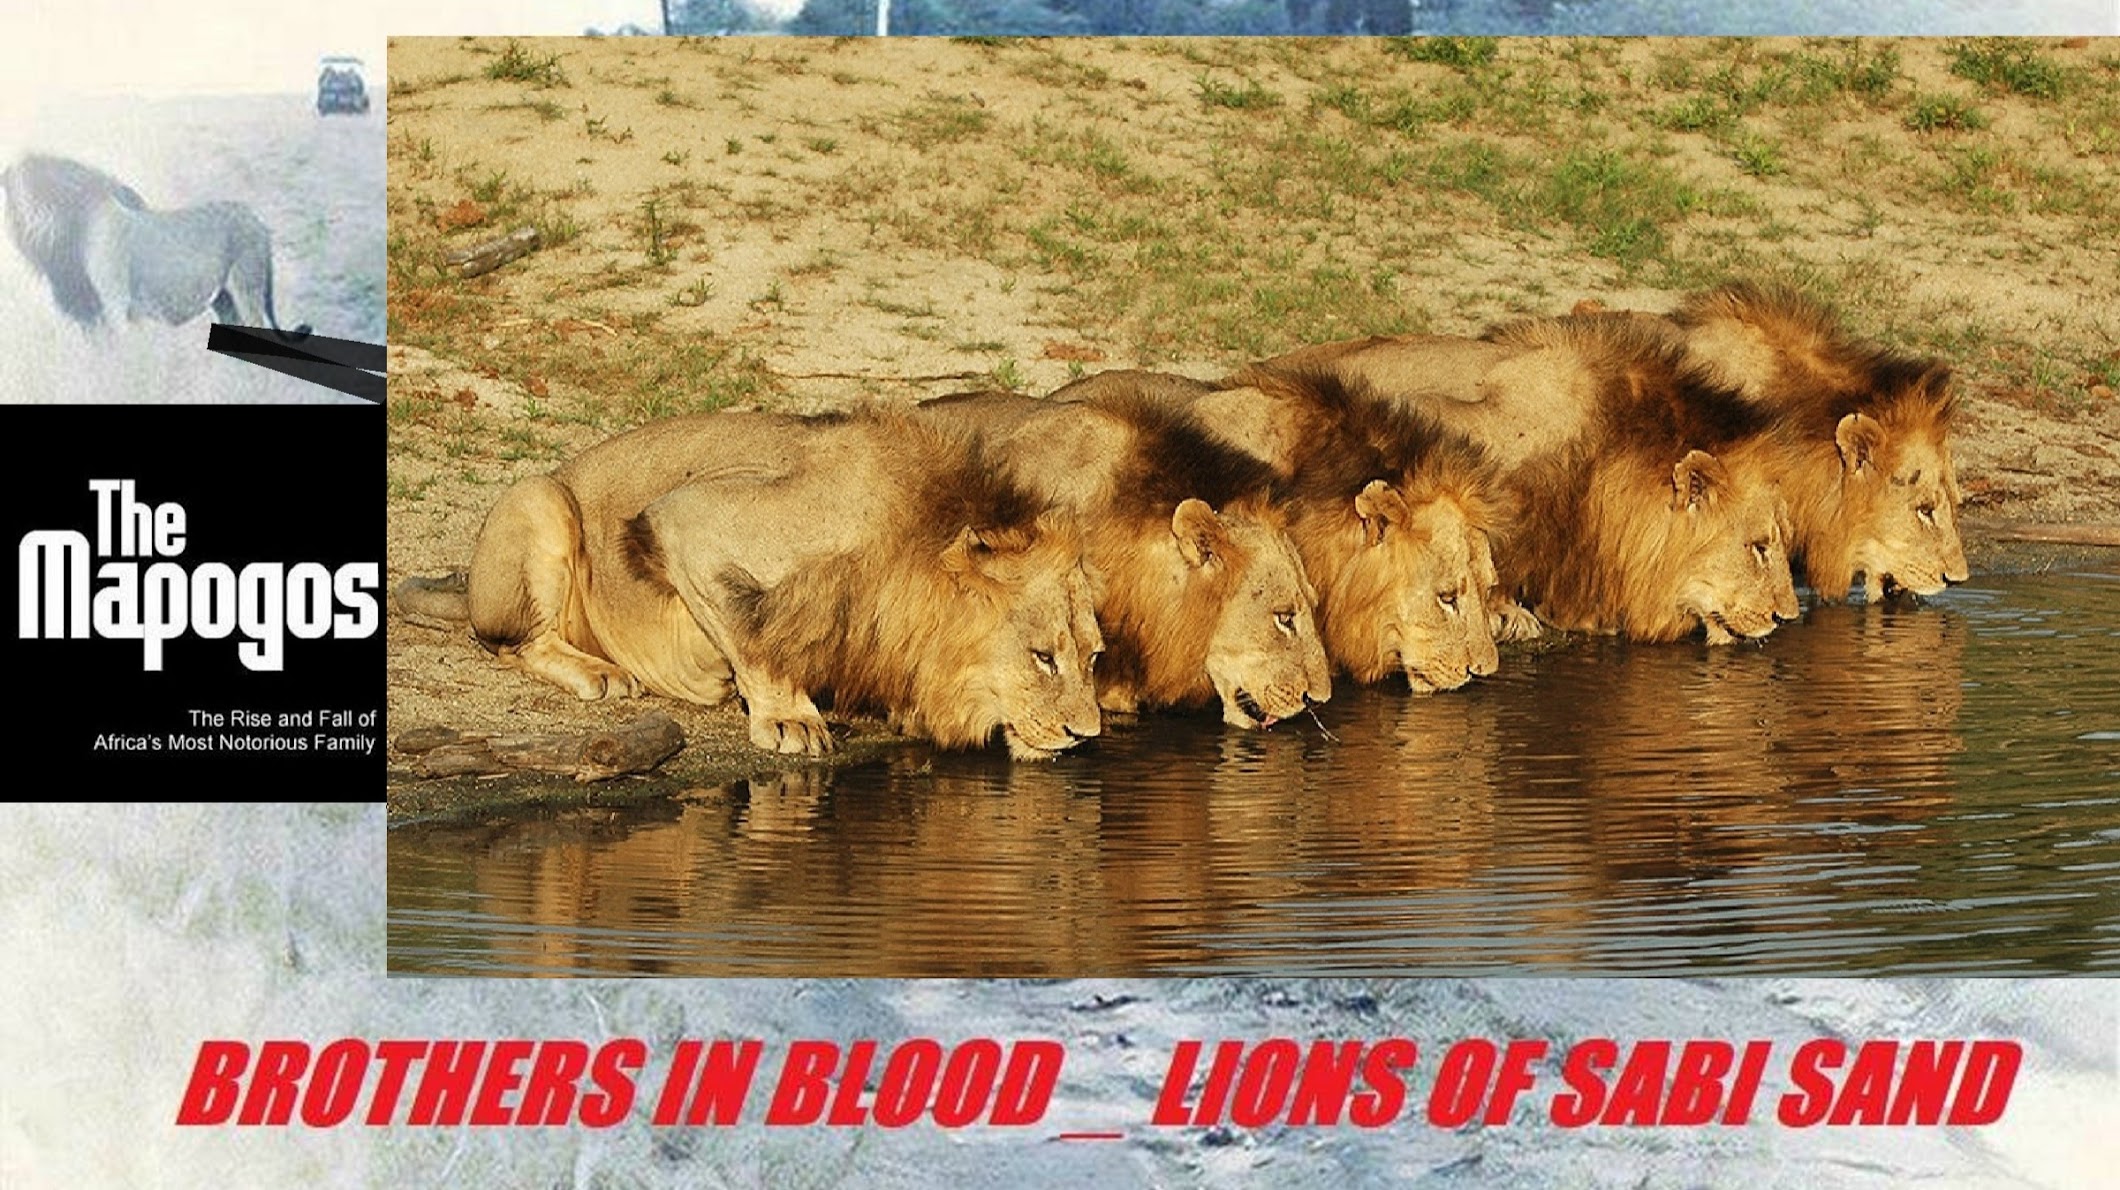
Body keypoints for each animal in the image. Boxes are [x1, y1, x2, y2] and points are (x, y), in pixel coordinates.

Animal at [1, 153, 309, 337]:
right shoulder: (95, 315)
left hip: (247, 289)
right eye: (17, 197)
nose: (35, 225)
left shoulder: (116, 306)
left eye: (40, 194)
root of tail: (256, 218)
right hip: (224, 300)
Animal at [461, 409, 1104, 759]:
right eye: (1043, 657)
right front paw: (790, 719)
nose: (1085, 735)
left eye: (1094, 656)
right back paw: (602, 673)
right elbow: (754, 634)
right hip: (542, 499)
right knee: (514, 643)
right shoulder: (687, 520)